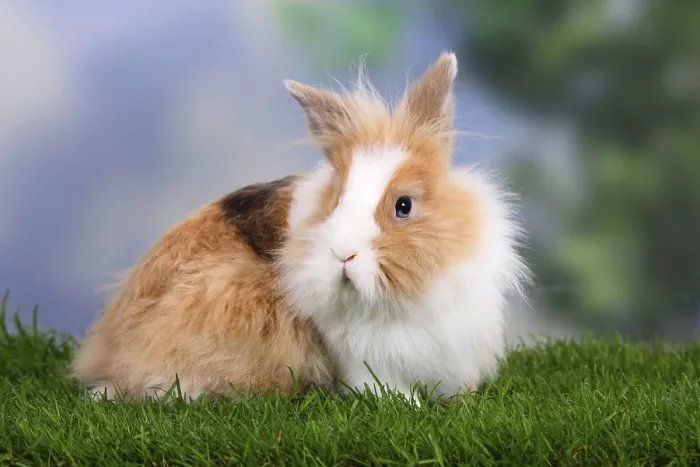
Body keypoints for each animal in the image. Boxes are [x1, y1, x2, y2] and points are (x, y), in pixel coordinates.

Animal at [276, 51, 529, 403]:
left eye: (404, 205)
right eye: (336, 199)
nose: (343, 254)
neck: (402, 302)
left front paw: (462, 401)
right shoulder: (365, 362)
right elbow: (391, 393)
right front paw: (410, 406)